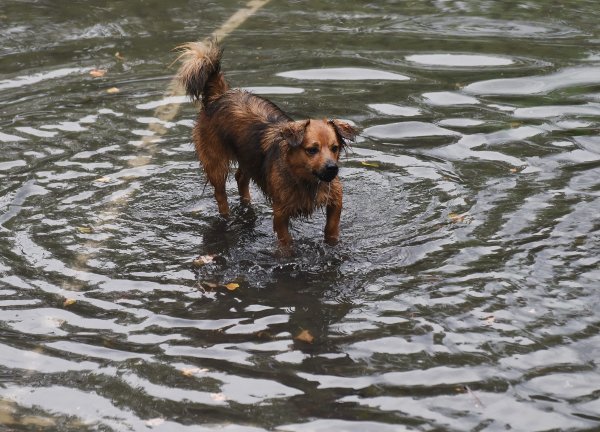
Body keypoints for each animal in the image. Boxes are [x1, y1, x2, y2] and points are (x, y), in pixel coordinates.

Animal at [175, 42, 356, 248]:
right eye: (312, 150)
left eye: (335, 148)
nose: (332, 168)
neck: (305, 178)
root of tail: (220, 95)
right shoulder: (280, 213)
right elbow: (286, 242)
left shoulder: (335, 198)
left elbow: (332, 228)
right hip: (216, 164)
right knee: (221, 195)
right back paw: (227, 215)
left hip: (247, 155)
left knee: (241, 178)